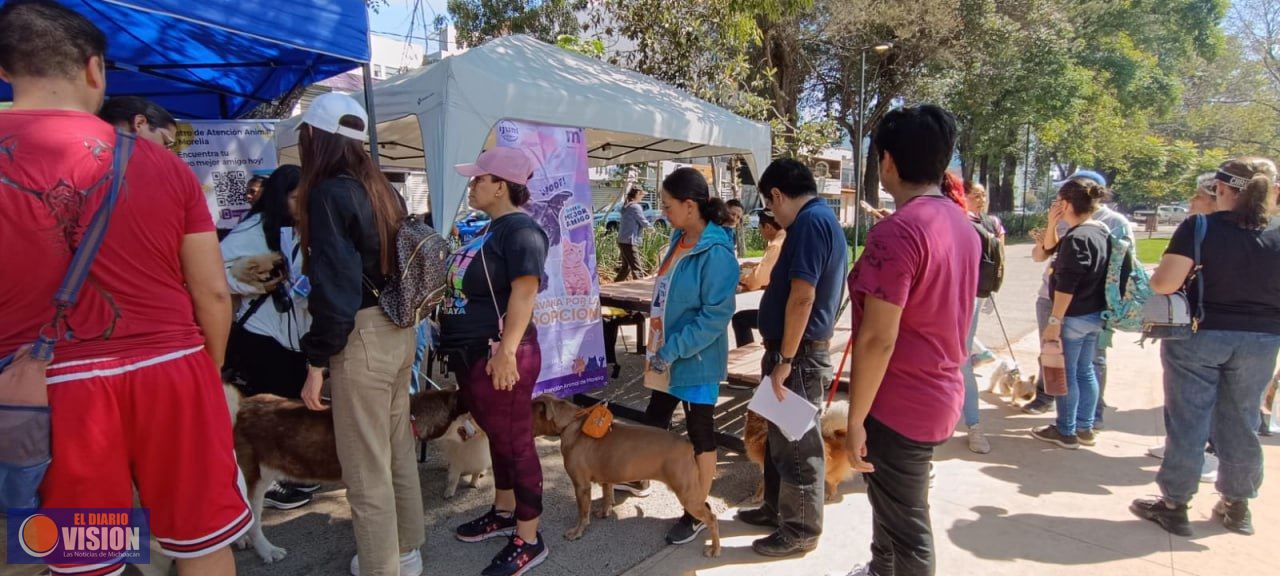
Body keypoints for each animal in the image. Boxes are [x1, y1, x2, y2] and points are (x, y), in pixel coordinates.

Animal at [229, 386, 460, 563]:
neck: (411, 416)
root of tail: (240, 408)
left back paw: (241, 539)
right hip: (255, 479)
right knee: (254, 521)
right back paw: (267, 550)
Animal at [529, 394, 721, 555]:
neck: (570, 424)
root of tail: (688, 444)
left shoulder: (581, 486)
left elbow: (582, 512)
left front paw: (577, 532)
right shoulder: (606, 475)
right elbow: (607, 494)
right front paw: (604, 511)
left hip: (687, 494)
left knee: (712, 518)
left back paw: (714, 549)